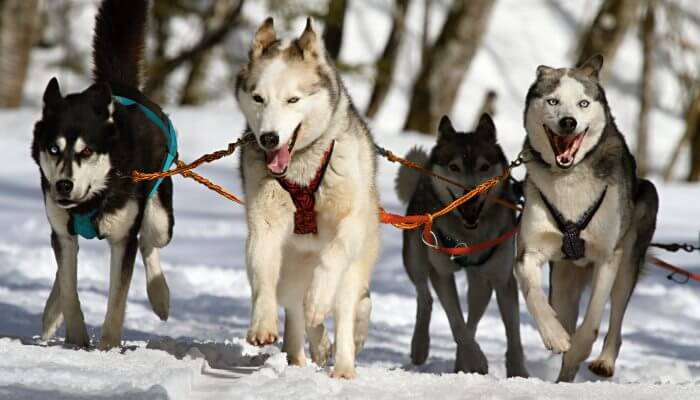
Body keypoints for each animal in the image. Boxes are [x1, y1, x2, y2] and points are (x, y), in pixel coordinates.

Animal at [31, 0, 175, 348]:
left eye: (86, 151)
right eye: (53, 149)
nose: (63, 185)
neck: (91, 201)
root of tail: (121, 87)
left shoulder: (123, 238)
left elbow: (117, 301)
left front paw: (107, 347)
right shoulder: (63, 231)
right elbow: (69, 287)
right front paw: (76, 340)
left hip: (160, 217)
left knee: (149, 242)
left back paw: (159, 294)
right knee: (61, 271)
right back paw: (51, 312)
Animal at [235, 18, 380, 378]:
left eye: (293, 99)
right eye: (258, 98)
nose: (269, 138)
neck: (302, 169)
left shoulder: (350, 223)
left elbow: (333, 257)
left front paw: (318, 299)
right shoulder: (264, 225)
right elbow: (262, 274)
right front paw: (262, 324)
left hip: (354, 269)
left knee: (344, 311)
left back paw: (343, 366)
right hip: (290, 272)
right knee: (296, 312)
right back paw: (303, 354)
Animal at [396, 114, 528, 376]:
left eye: (484, 167)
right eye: (454, 167)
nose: (471, 193)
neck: (469, 235)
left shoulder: (502, 278)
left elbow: (513, 334)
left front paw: (518, 372)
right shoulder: (442, 274)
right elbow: (456, 322)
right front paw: (476, 360)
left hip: (481, 282)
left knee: (474, 316)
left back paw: (460, 362)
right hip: (415, 259)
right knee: (425, 298)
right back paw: (420, 347)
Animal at [516, 54, 660, 382]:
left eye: (583, 103)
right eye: (553, 101)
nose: (568, 122)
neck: (569, 178)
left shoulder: (608, 256)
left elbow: (593, 319)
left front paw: (579, 348)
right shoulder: (529, 252)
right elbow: (534, 295)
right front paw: (555, 336)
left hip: (629, 258)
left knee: (616, 319)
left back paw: (603, 361)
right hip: (563, 282)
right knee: (564, 311)